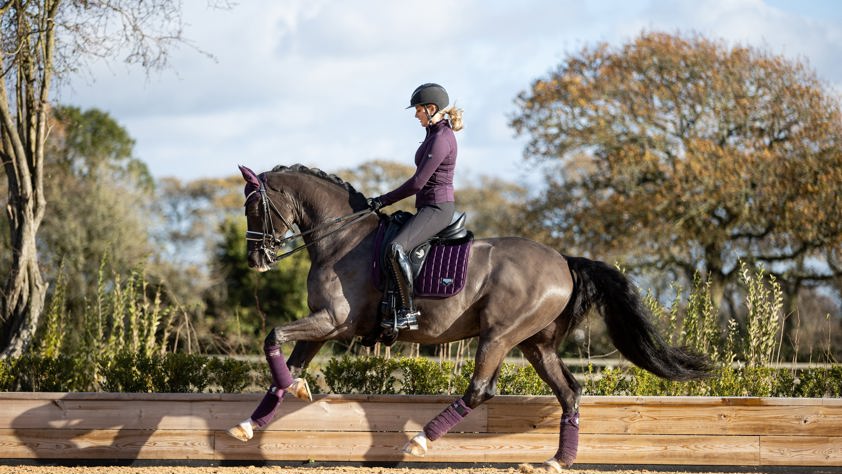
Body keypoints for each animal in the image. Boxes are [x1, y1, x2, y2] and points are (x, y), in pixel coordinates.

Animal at [226, 163, 704, 470]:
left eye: (254, 208)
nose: (255, 260)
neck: (340, 239)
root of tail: (563, 261)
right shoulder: (322, 325)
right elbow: (285, 366)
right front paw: (250, 423)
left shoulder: (333, 320)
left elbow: (273, 336)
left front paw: (288, 394)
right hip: (537, 344)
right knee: (569, 392)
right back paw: (556, 461)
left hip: (499, 335)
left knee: (480, 390)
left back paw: (420, 442)